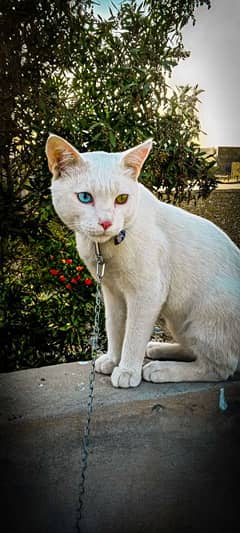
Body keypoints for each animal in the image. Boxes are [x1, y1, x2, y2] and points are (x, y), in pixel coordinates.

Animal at [45, 134, 240, 386]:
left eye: (122, 199)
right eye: (85, 198)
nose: (106, 222)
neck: (104, 248)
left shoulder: (147, 293)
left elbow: (134, 335)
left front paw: (127, 370)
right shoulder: (112, 292)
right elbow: (114, 328)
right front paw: (113, 359)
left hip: (209, 315)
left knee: (219, 368)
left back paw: (161, 369)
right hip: (178, 321)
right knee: (193, 350)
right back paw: (159, 349)